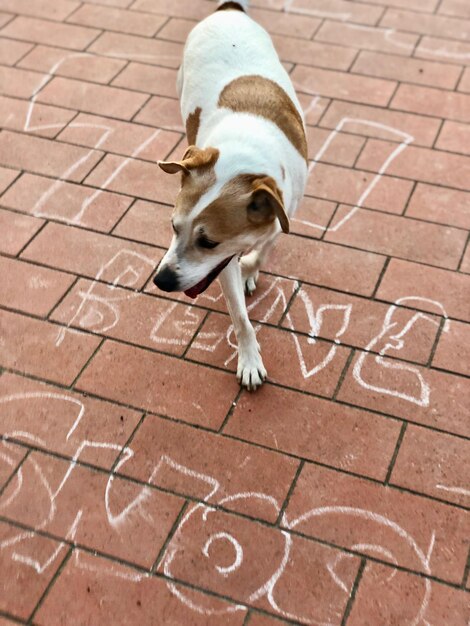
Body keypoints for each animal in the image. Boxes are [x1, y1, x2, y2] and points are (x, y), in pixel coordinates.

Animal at [153, 0, 308, 388]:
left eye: (208, 241)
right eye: (173, 227)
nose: (161, 280)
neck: (244, 158)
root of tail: (228, 8)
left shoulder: (285, 209)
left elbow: (267, 243)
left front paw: (251, 267)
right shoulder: (221, 265)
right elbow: (240, 317)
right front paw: (249, 359)